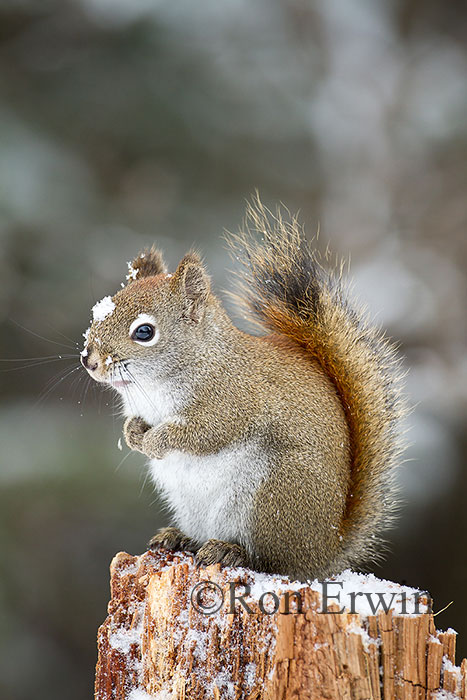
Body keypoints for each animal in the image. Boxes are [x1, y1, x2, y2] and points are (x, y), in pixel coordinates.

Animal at [80, 198, 407, 582]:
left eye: (144, 332)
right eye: (98, 315)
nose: (89, 359)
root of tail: (325, 554)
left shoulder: (234, 403)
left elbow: (202, 434)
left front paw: (155, 442)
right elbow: (136, 424)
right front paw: (134, 434)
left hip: (273, 496)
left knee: (273, 561)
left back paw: (231, 551)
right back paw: (179, 538)